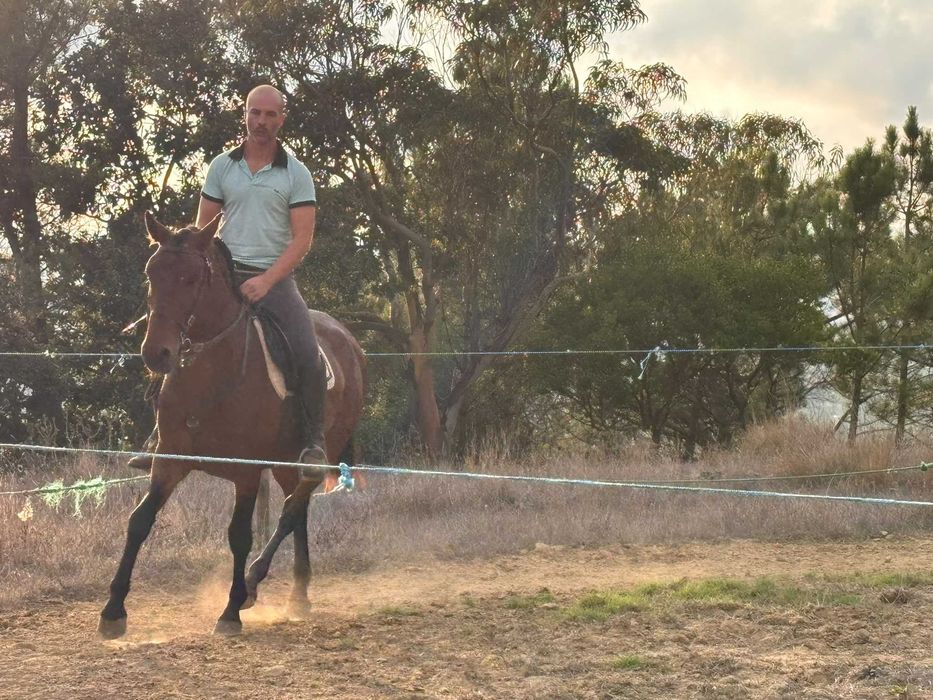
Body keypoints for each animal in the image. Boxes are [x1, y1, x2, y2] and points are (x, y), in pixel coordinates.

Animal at [98, 212, 366, 638]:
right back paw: (298, 595)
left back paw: (254, 585)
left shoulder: (246, 472)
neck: (212, 372)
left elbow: (239, 535)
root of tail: (350, 341)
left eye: (191, 279)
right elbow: (139, 521)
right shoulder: (169, 460)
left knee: (291, 511)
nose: (157, 353)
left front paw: (230, 610)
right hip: (285, 463)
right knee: (298, 509)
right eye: (151, 273)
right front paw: (112, 612)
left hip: (316, 449)